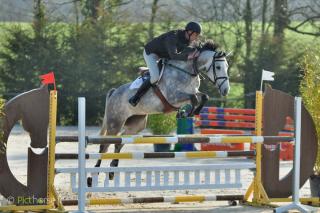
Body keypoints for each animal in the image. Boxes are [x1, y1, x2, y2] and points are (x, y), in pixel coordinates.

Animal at [87, 41, 230, 185]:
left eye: (227, 67)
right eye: (218, 67)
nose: (226, 90)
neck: (188, 71)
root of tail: (114, 92)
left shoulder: (191, 92)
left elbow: (204, 96)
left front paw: (188, 113)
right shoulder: (173, 97)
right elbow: (194, 98)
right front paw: (185, 113)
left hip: (136, 124)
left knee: (119, 142)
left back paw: (112, 171)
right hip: (115, 122)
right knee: (104, 146)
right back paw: (93, 176)